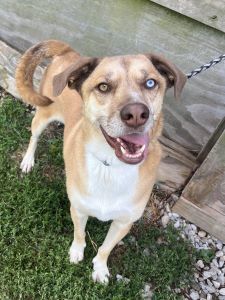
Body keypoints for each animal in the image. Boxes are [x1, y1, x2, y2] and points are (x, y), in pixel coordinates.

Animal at [14, 39, 185, 284]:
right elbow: (79, 234)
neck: (111, 166)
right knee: (34, 136)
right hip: (43, 115)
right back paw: (28, 160)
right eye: (103, 87)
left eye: (150, 83)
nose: (136, 114)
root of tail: (69, 52)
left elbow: (106, 248)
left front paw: (100, 268)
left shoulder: (124, 222)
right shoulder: (78, 209)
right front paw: (76, 253)